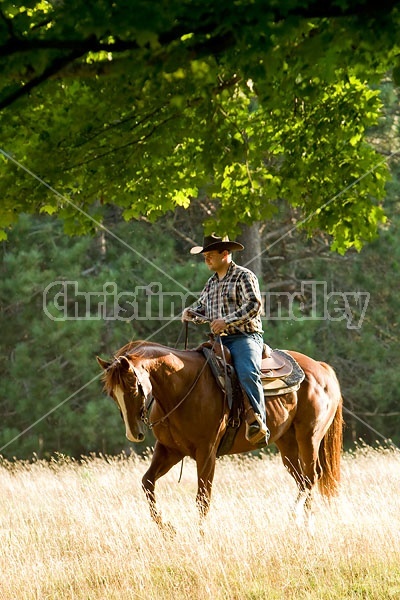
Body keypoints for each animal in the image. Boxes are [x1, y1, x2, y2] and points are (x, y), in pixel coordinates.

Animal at [97, 340, 344, 532]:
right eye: (112, 394)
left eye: (133, 389)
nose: (134, 434)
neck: (182, 387)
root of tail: (322, 368)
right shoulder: (170, 450)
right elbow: (147, 482)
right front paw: (167, 528)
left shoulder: (207, 452)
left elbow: (202, 498)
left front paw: (201, 537)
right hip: (287, 443)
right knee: (302, 480)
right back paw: (299, 523)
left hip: (309, 437)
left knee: (311, 476)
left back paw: (303, 521)